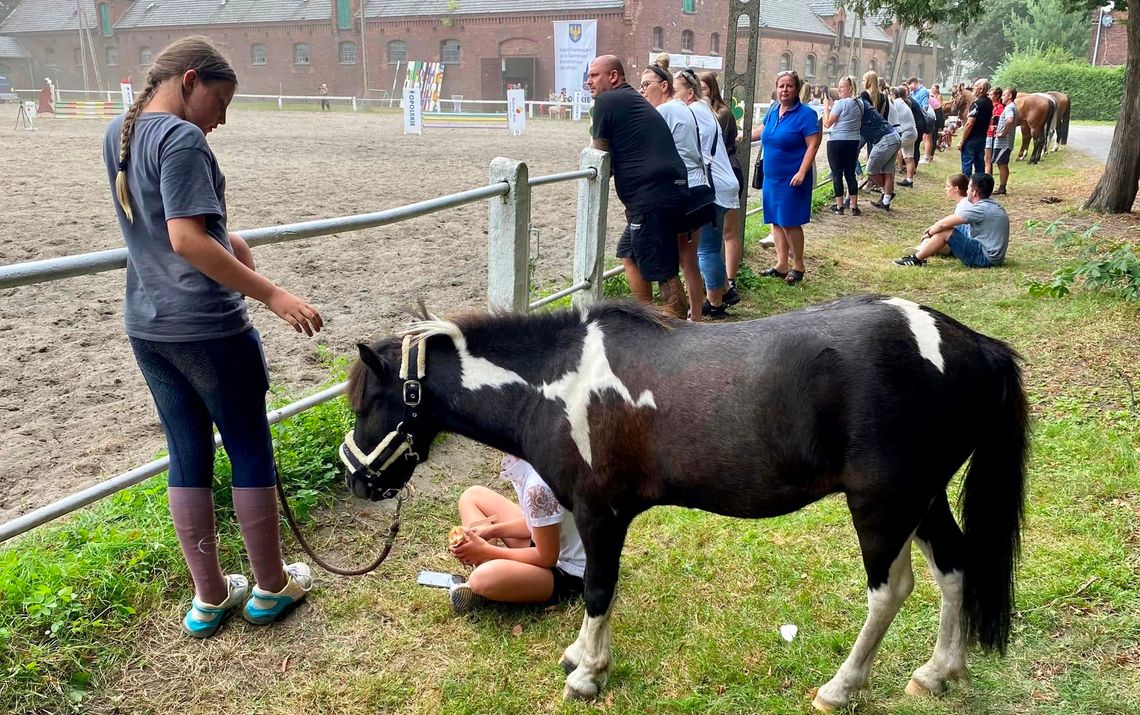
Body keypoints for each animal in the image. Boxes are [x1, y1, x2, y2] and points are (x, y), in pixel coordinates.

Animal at [342, 294, 1030, 711]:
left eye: (367, 401)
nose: (355, 478)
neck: (554, 384)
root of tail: (970, 344)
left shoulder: (599, 514)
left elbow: (598, 590)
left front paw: (587, 673)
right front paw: (580, 659)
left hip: (883, 506)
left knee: (891, 590)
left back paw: (839, 687)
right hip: (924, 499)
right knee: (954, 569)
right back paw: (939, 673)